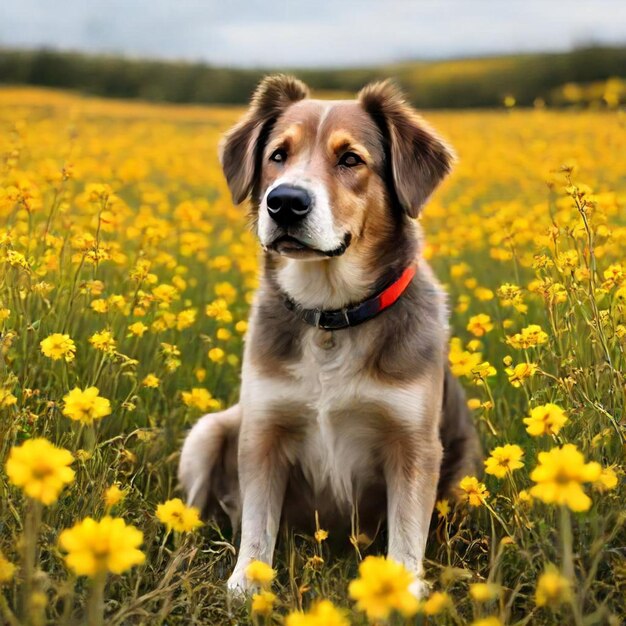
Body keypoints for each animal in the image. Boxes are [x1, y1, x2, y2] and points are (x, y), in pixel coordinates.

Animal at [178, 74, 480, 596]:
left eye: (351, 159)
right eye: (278, 154)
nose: (285, 202)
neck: (331, 316)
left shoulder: (414, 444)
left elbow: (407, 534)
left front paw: (402, 593)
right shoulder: (263, 429)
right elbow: (257, 525)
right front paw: (246, 588)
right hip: (209, 429)